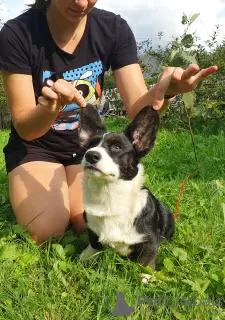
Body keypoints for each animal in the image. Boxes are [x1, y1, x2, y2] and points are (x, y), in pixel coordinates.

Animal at [79, 104, 174, 268]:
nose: (90, 155)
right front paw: (87, 257)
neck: (109, 196)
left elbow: (146, 263)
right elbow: (94, 244)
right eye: (89, 146)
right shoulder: (92, 230)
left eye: (117, 147)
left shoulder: (149, 242)